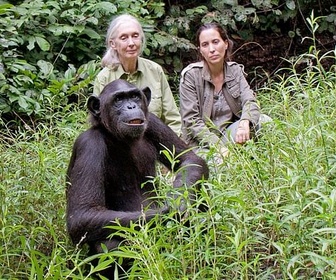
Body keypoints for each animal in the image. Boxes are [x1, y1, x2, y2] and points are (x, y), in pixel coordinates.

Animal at [65, 79, 209, 276]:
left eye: (134, 96)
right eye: (118, 99)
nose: (131, 106)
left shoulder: (154, 122)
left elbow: (189, 159)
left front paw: (181, 199)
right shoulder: (89, 145)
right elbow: (82, 214)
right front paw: (173, 210)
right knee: (109, 245)